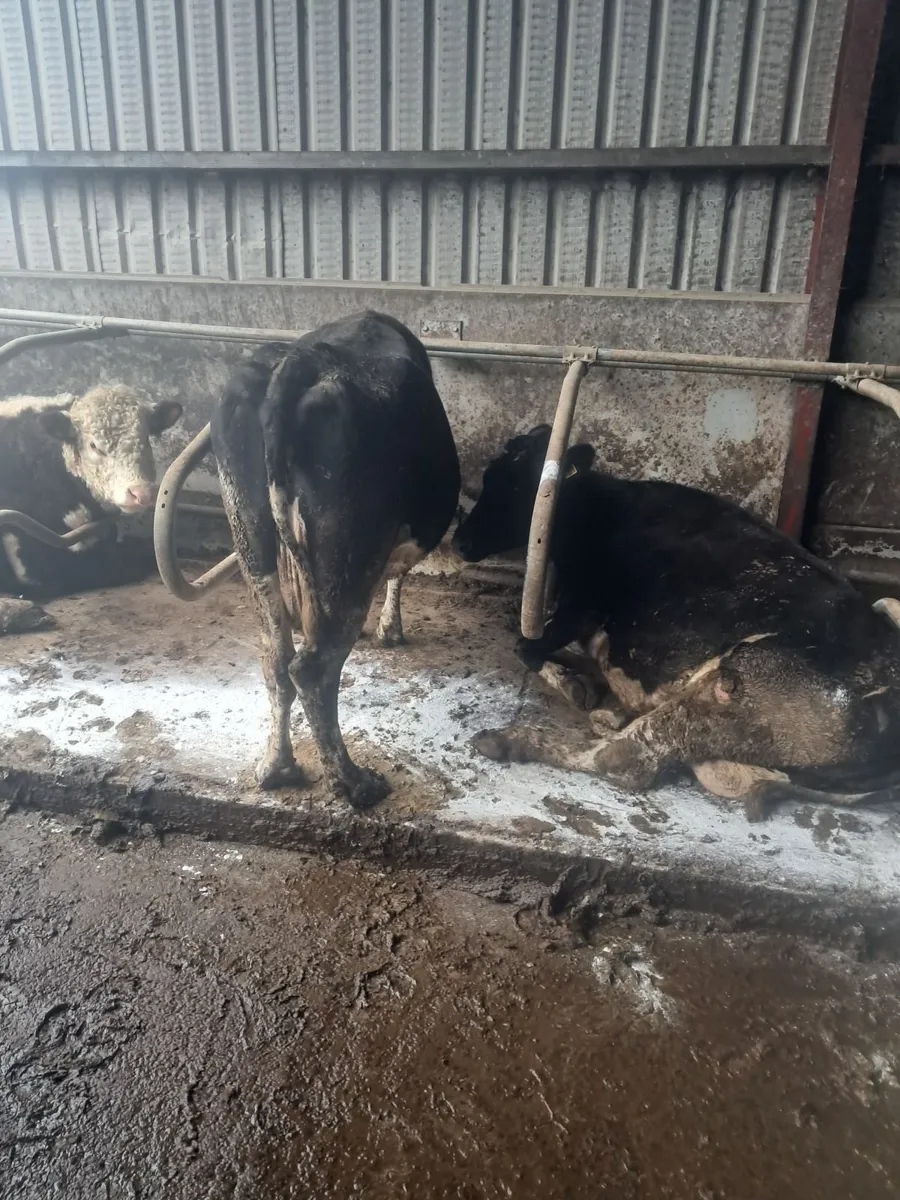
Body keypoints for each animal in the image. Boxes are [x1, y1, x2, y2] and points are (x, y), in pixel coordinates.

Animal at [210, 310, 460, 809]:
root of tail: (297, 361)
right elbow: (400, 574)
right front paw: (390, 630)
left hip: (251, 540)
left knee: (275, 658)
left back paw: (277, 767)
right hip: (351, 552)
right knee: (311, 669)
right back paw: (353, 782)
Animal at [452, 424, 900, 819]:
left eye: (514, 487)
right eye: (489, 477)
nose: (459, 542)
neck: (595, 512)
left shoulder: (582, 606)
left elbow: (524, 645)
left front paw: (572, 685)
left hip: (739, 680)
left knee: (627, 759)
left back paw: (508, 739)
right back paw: (608, 719)